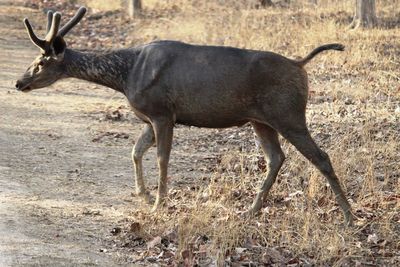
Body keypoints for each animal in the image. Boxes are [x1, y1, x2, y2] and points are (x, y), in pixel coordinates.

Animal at [15, 6, 354, 226]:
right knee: (276, 158)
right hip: (261, 120)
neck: (125, 75)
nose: (19, 82)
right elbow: (135, 151)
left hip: (289, 113)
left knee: (320, 156)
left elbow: (162, 158)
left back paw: (350, 216)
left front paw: (158, 204)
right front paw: (142, 193)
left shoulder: (163, 112)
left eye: (42, 62)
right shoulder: (149, 118)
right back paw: (251, 210)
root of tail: (300, 65)